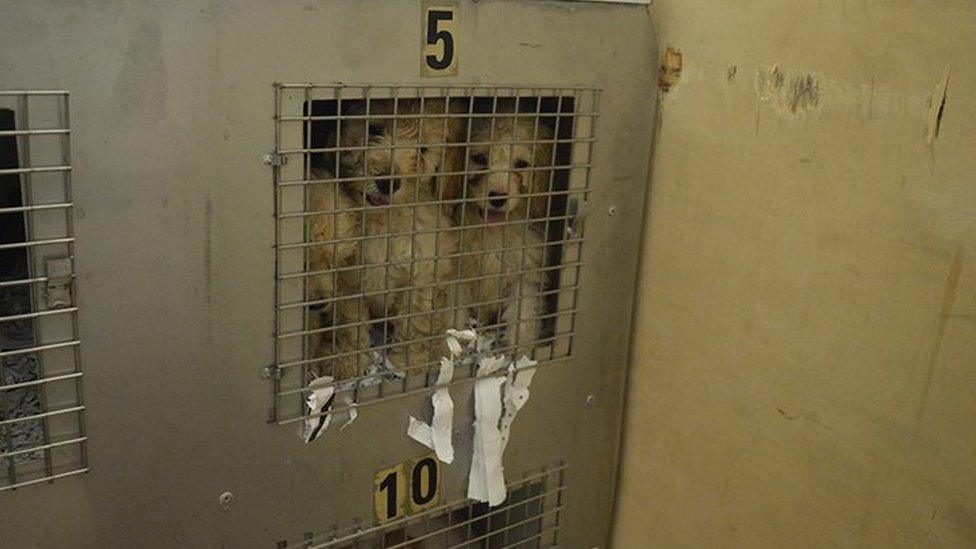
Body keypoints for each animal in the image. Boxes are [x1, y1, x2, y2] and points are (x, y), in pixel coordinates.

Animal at [336, 97, 468, 372]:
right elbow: (350, 325)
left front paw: (408, 365)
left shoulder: (423, 273)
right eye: (375, 129)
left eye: (423, 149)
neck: (383, 220)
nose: (388, 182)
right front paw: (349, 365)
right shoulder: (348, 280)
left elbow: (414, 324)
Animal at [456, 115, 552, 356]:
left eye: (521, 164)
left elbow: (524, 317)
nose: (498, 198)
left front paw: (520, 354)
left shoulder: (525, 274)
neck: (494, 233)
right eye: (479, 158)